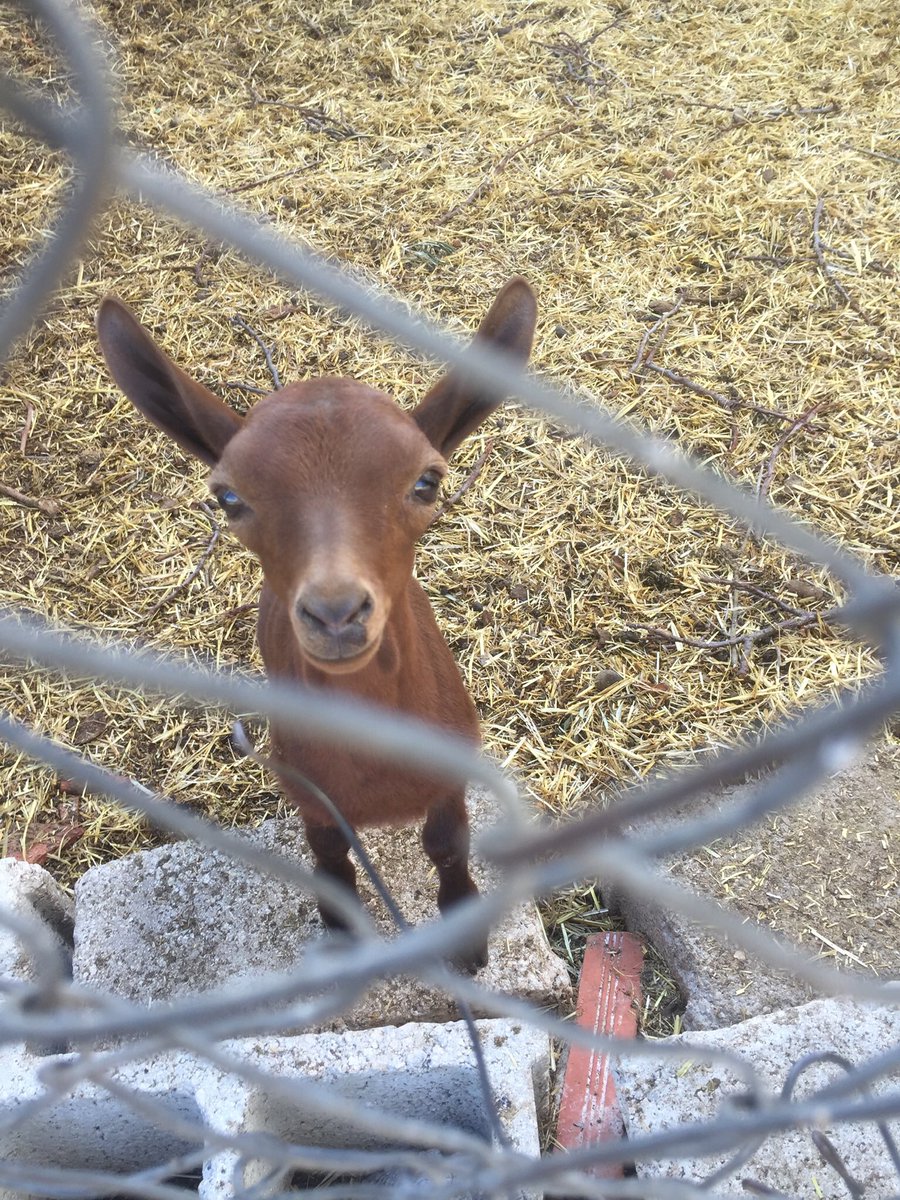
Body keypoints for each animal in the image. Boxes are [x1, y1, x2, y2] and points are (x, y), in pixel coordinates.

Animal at [96, 278, 537, 972]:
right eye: (228, 498)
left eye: (427, 482)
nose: (336, 613)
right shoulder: (308, 789)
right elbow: (328, 853)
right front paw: (340, 927)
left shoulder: (453, 768)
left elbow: (447, 843)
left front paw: (465, 938)